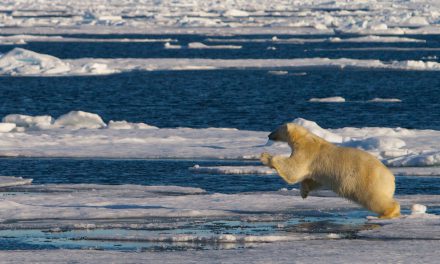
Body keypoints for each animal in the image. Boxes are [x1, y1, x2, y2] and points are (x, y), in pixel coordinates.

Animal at [260, 124, 400, 219]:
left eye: (276, 128)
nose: (268, 135)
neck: (305, 138)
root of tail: (391, 178)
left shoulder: (307, 152)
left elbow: (293, 170)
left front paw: (265, 156)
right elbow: (313, 179)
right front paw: (304, 192)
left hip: (367, 181)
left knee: (374, 199)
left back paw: (388, 213)